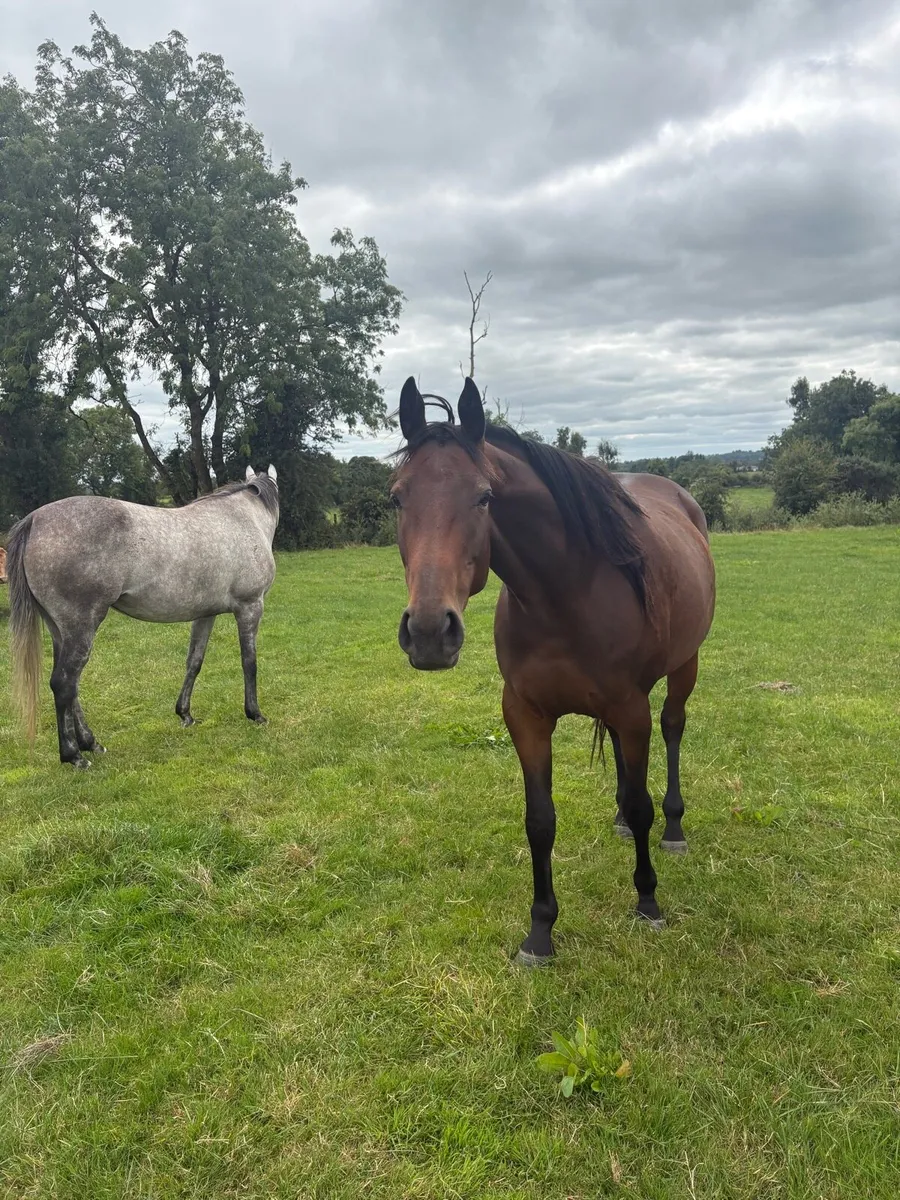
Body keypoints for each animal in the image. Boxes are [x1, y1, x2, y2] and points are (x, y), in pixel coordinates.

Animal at [7, 465, 279, 768]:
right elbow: (249, 662)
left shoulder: (205, 615)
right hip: (81, 628)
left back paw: (91, 743)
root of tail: (34, 520)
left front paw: (185, 714)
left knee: (70, 686)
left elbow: (194, 662)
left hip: (60, 631)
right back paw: (74, 755)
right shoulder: (250, 607)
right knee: (63, 683)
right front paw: (255, 714)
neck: (244, 519)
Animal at [391, 377, 716, 965]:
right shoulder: (525, 713)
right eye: (397, 497)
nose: (428, 630)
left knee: (672, 729)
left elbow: (643, 806)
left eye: (484, 496)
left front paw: (647, 901)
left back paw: (674, 827)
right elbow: (540, 821)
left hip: (684, 668)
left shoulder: (630, 705)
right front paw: (540, 931)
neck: (567, 592)